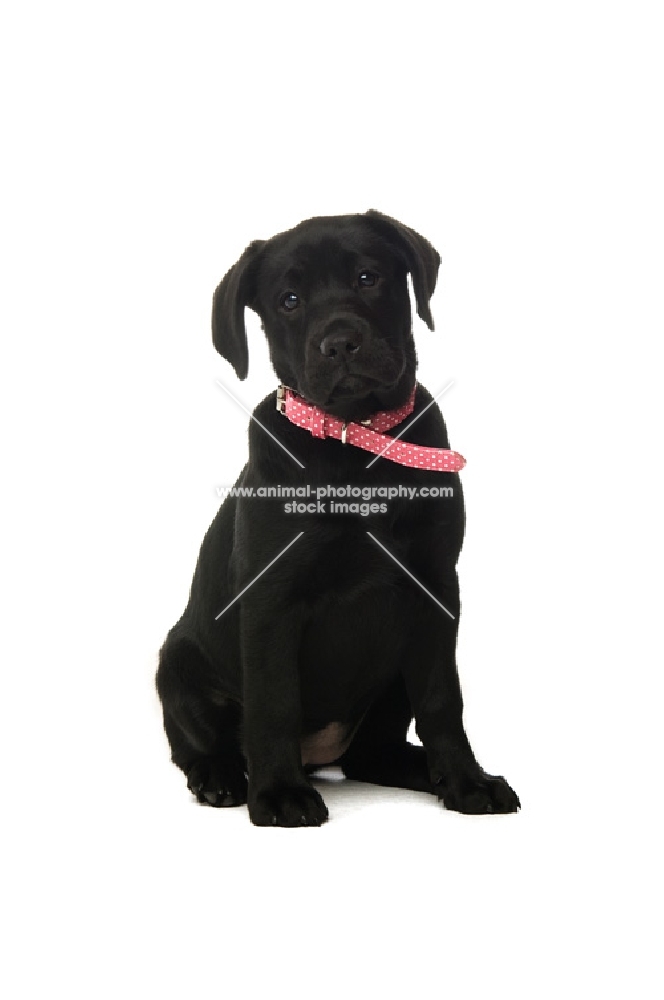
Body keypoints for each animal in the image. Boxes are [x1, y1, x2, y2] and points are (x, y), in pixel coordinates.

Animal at [156, 211, 520, 828]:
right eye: (290, 300)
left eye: (368, 277)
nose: (341, 343)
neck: (355, 442)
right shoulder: (271, 599)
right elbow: (274, 701)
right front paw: (280, 795)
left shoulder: (435, 589)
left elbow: (442, 699)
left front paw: (466, 781)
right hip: (175, 664)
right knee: (203, 745)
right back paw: (223, 778)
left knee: (373, 754)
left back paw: (427, 770)